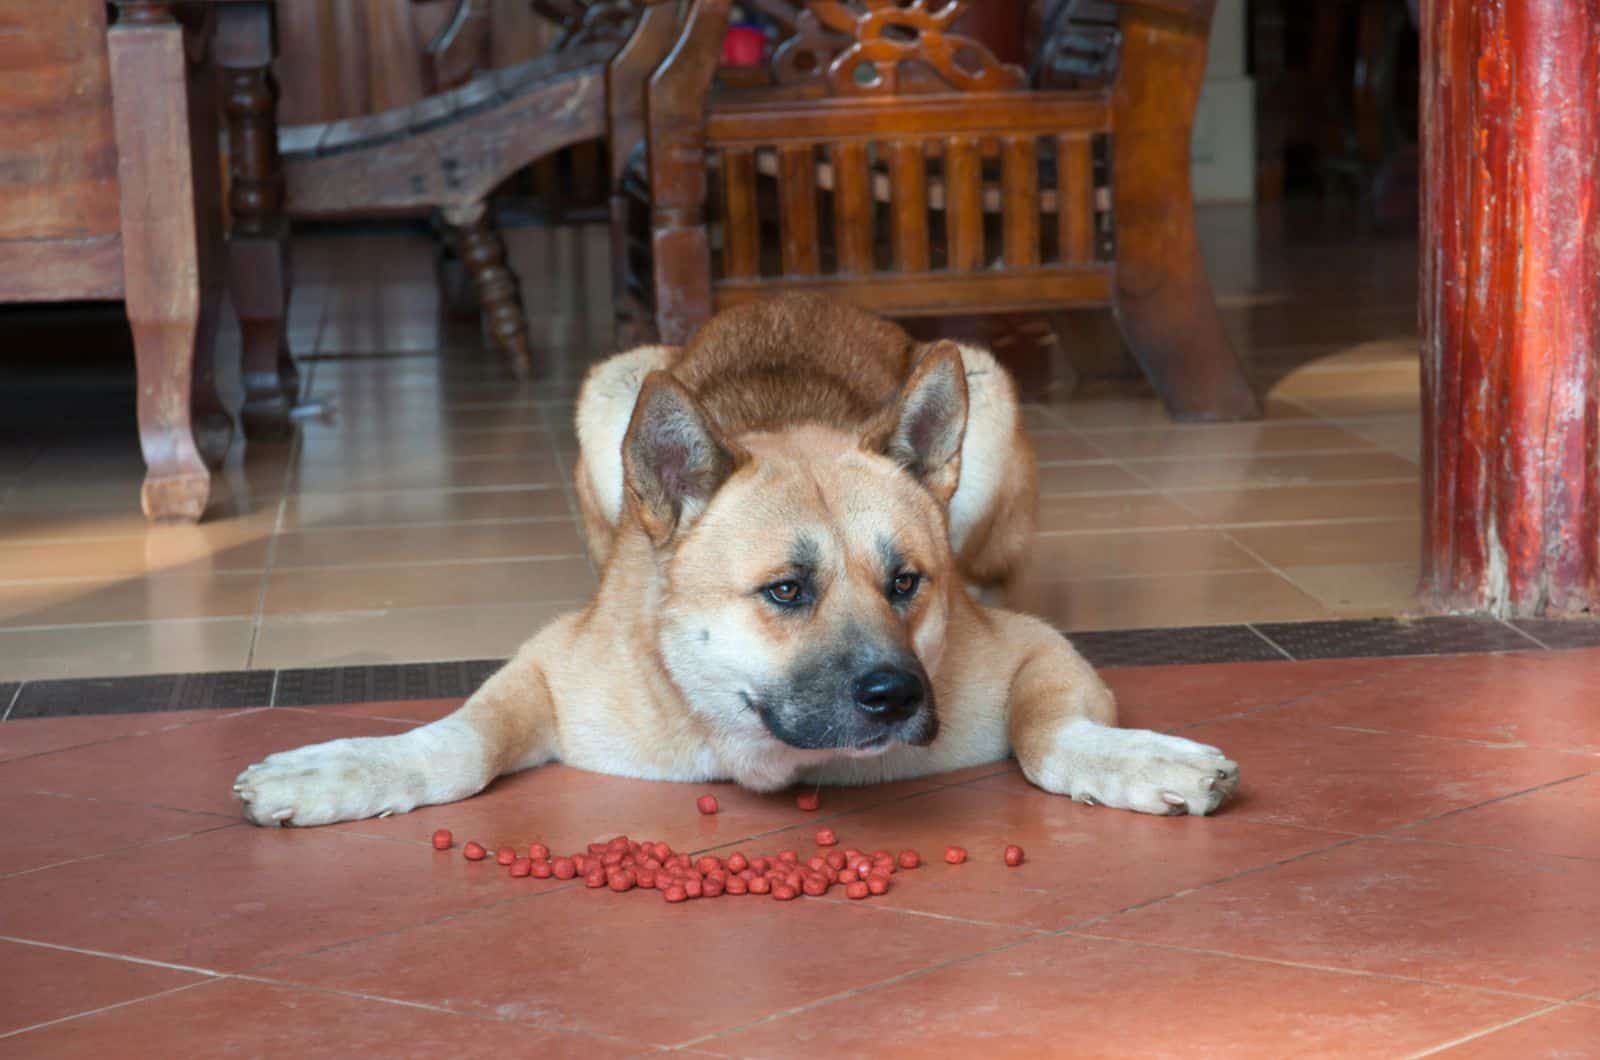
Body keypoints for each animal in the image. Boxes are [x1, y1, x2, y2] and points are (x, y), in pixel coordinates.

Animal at [233, 294, 1235, 826]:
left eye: (907, 583)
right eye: (786, 590)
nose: (898, 697)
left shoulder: (1034, 651)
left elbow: (1048, 735)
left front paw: (1131, 758)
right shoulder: (545, 669)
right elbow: (457, 741)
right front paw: (348, 772)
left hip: (988, 401)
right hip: (610, 393)